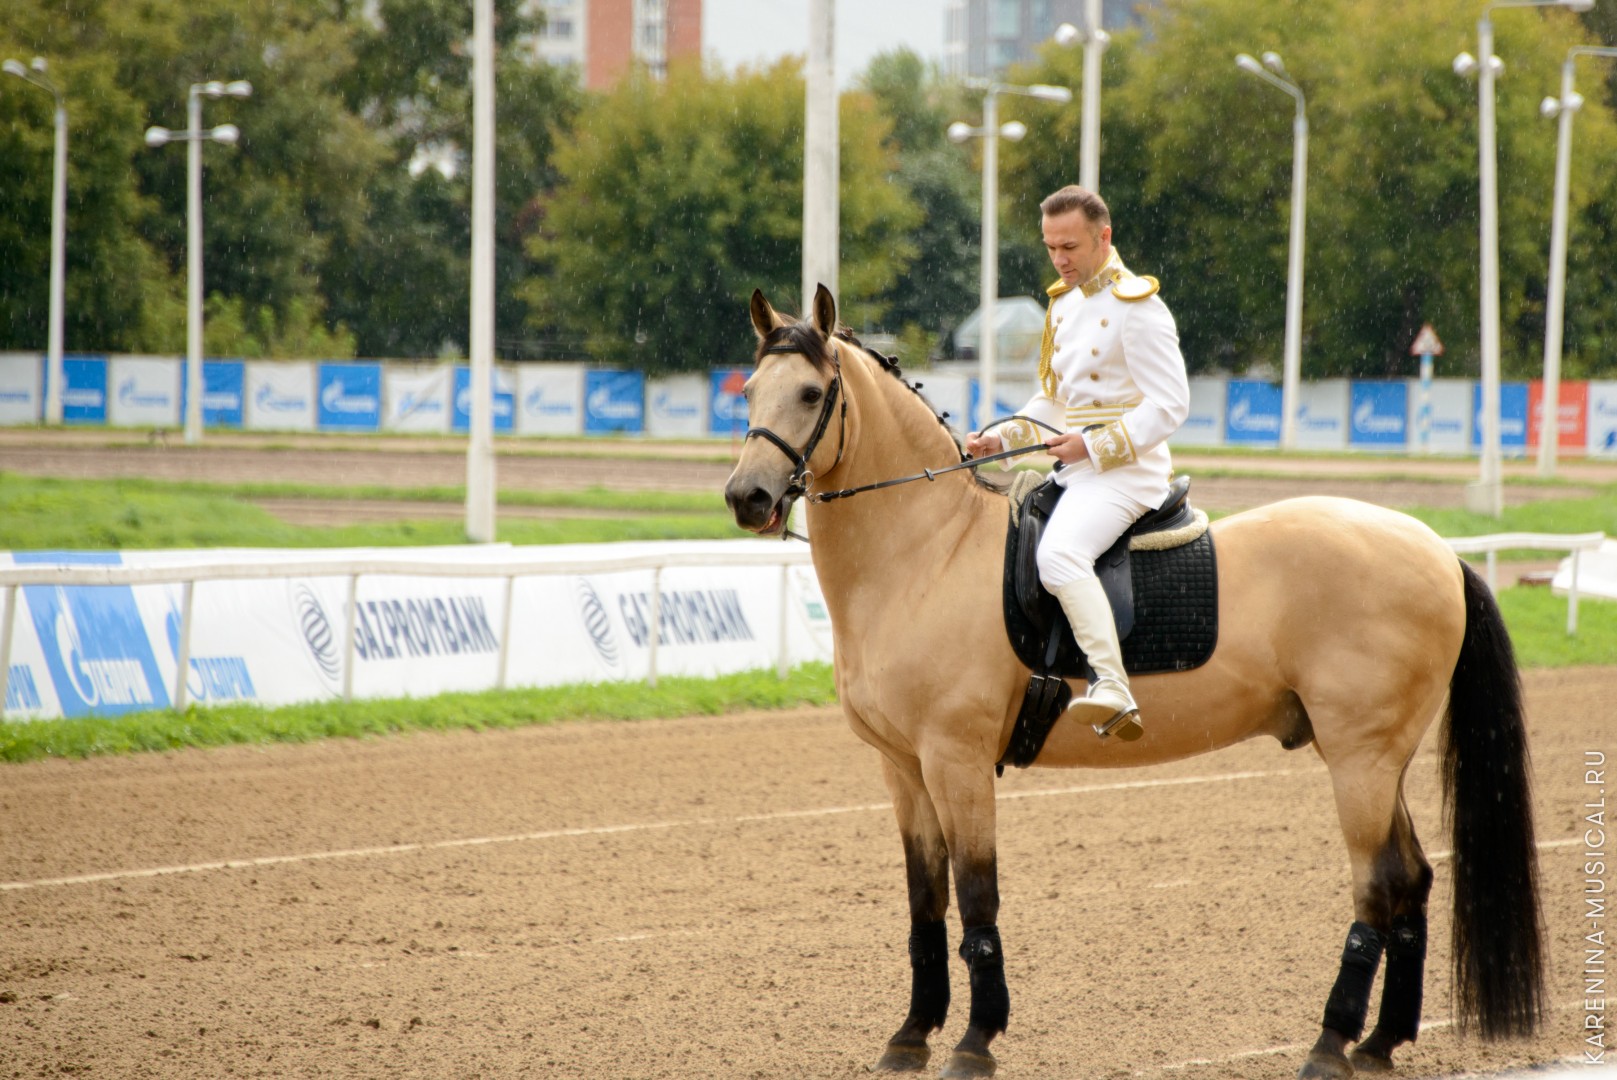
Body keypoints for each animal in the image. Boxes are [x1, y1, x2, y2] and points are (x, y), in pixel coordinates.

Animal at [727, 282, 1545, 1073]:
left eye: (811, 393)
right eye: (749, 391)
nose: (746, 498)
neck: (928, 551)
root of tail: (1435, 548)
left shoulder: (957, 762)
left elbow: (977, 898)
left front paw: (975, 1041)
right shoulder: (903, 768)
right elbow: (924, 903)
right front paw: (910, 1037)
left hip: (1361, 760)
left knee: (1376, 890)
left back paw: (1329, 1046)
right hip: (1373, 760)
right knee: (1412, 882)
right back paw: (1378, 1046)